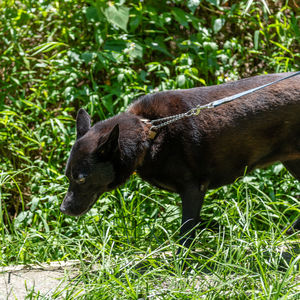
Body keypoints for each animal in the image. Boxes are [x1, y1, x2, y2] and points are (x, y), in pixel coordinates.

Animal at [60, 72, 300, 246]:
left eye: (81, 178)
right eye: (67, 176)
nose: (63, 210)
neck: (150, 132)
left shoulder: (193, 189)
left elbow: (186, 231)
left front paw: (181, 264)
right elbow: (197, 224)